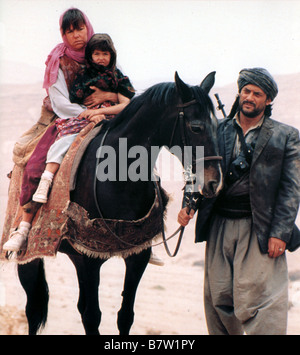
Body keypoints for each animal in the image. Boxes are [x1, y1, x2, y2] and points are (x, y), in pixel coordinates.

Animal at [17, 71, 223, 334]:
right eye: (196, 127)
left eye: (218, 126)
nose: (214, 182)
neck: (118, 174)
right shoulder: (88, 259)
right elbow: (92, 316)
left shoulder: (138, 256)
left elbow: (125, 315)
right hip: (29, 258)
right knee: (33, 311)